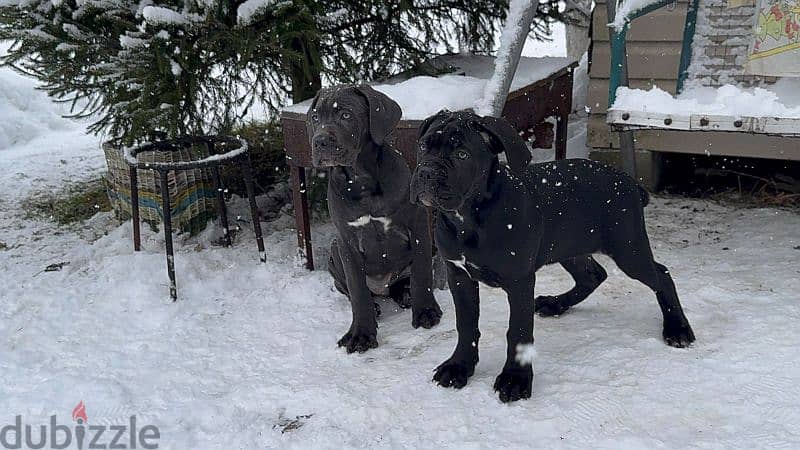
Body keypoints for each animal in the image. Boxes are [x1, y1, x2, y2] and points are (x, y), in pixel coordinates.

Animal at [306, 84, 444, 352]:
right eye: (315, 118)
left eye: (346, 115)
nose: (319, 141)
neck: (362, 182)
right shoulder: (347, 242)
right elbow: (357, 290)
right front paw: (361, 333)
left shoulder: (418, 226)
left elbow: (422, 272)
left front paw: (425, 311)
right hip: (334, 252)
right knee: (354, 292)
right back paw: (376, 306)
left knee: (405, 280)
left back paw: (406, 294)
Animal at [410, 110, 696, 402]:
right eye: (422, 147)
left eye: (462, 155)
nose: (426, 172)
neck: (469, 218)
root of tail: (630, 183)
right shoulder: (459, 275)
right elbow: (466, 325)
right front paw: (459, 366)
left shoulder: (519, 281)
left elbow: (518, 331)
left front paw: (515, 380)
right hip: (567, 245)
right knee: (593, 275)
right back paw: (555, 304)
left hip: (628, 249)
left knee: (661, 274)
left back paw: (678, 328)